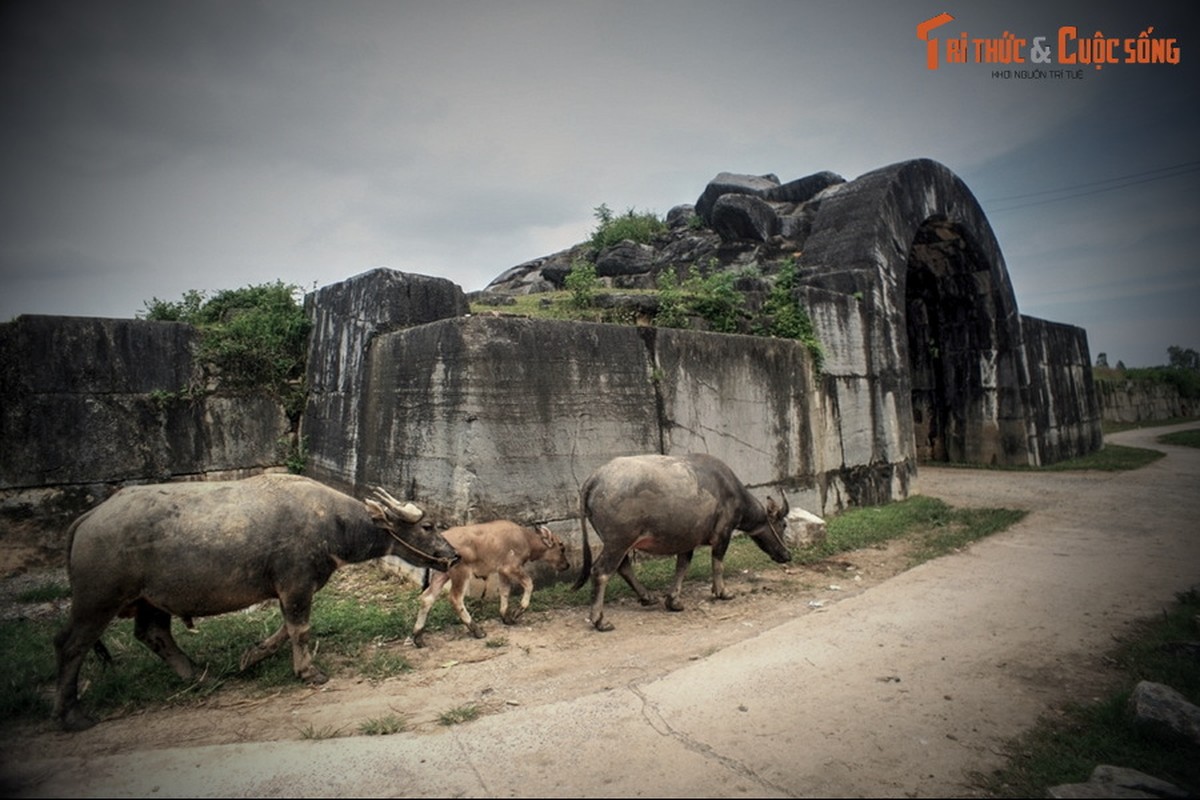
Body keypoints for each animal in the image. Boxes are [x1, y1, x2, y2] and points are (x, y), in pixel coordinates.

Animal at [51, 474, 456, 734]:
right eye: (429, 526)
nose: (452, 556)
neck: (333, 523)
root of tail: (89, 518)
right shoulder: (296, 584)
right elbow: (300, 628)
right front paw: (309, 672)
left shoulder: (290, 589)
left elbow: (284, 630)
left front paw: (251, 656)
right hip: (97, 600)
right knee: (71, 645)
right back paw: (72, 715)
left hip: (150, 599)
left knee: (154, 634)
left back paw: (200, 675)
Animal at [410, 522, 573, 647]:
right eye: (561, 547)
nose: (566, 565)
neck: (526, 540)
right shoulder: (510, 568)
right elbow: (529, 583)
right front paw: (517, 612)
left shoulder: (502, 571)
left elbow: (505, 591)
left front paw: (506, 617)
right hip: (461, 572)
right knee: (455, 598)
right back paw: (477, 631)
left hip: (441, 574)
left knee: (427, 597)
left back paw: (418, 637)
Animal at [568, 455, 792, 633]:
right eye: (783, 524)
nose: (787, 555)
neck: (732, 492)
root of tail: (595, 478)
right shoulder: (723, 534)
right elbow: (717, 563)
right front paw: (723, 592)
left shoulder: (687, 540)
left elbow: (682, 566)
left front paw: (673, 600)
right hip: (619, 541)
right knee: (601, 571)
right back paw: (600, 620)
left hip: (617, 543)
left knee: (623, 567)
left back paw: (647, 597)